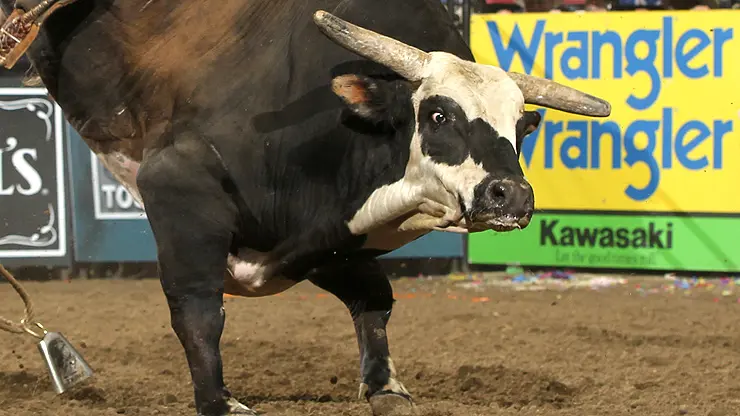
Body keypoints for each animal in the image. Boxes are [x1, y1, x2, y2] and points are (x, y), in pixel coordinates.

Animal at [0, 0, 608, 414]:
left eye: (519, 129)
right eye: (438, 115)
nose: (513, 195)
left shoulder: (321, 236)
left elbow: (374, 298)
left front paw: (386, 386)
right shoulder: (177, 188)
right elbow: (198, 311)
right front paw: (220, 402)